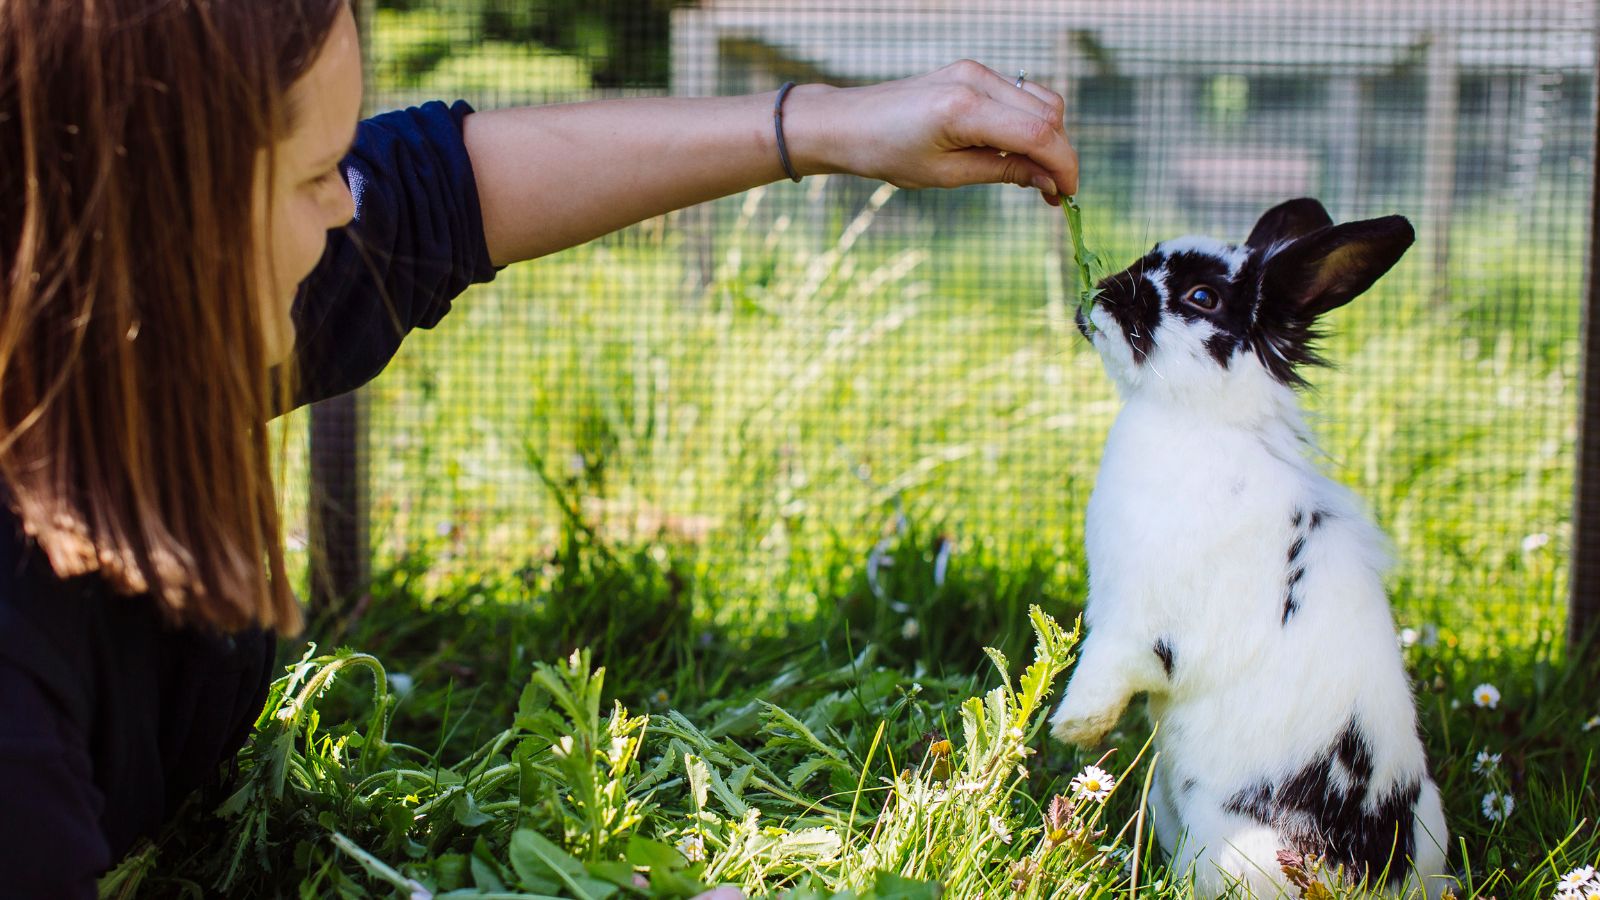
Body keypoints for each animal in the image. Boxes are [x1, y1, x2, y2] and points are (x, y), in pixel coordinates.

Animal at [1049, 199, 1452, 890]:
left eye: (1201, 297)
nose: (1101, 294)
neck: (1201, 421)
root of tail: (1387, 878)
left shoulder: (1137, 622)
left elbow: (1106, 667)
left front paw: (1073, 728)